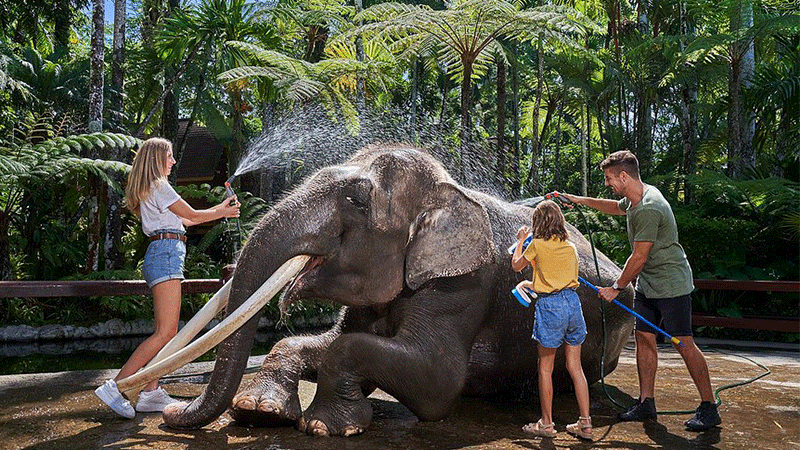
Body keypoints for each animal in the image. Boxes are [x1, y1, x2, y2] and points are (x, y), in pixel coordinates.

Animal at [162, 144, 634, 436]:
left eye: (355, 200)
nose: (170, 410)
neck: (447, 189)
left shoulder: (464, 284)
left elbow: (437, 380)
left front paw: (322, 426)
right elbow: (322, 341)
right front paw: (258, 410)